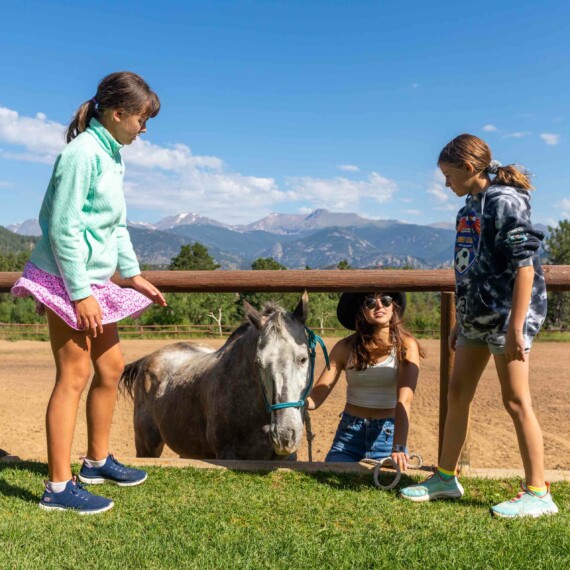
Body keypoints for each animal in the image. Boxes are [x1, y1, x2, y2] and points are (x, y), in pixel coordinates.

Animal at [121, 292, 310, 458]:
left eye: (303, 358)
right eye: (258, 362)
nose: (284, 435)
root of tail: (147, 359)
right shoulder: (227, 454)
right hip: (146, 447)